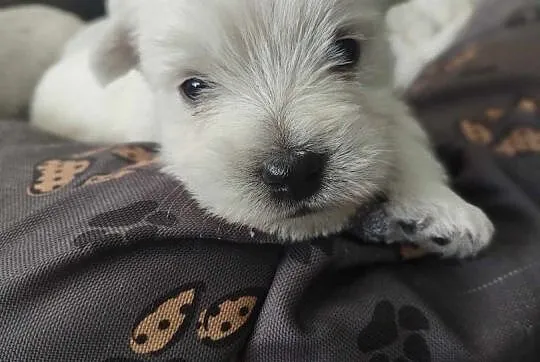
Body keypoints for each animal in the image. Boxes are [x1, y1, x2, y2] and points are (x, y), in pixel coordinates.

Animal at [29, 0, 494, 258]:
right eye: (192, 87)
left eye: (347, 49)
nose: (293, 172)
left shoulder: (387, 105)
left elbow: (403, 136)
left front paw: (441, 209)